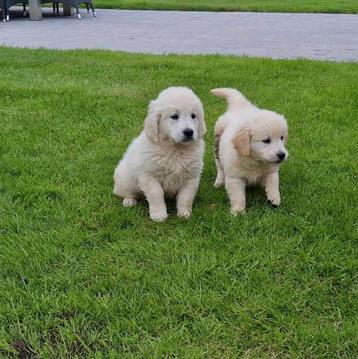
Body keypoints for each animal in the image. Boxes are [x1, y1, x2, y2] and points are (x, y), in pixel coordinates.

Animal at [113, 87, 206, 222]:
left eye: (193, 116)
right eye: (174, 116)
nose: (189, 132)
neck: (175, 150)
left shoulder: (191, 177)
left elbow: (186, 196)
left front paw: (184, 213)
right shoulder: (149, 176)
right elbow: (156, 194)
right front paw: (159, 215)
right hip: (125, 179)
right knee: (125, 192)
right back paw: (129, 201)